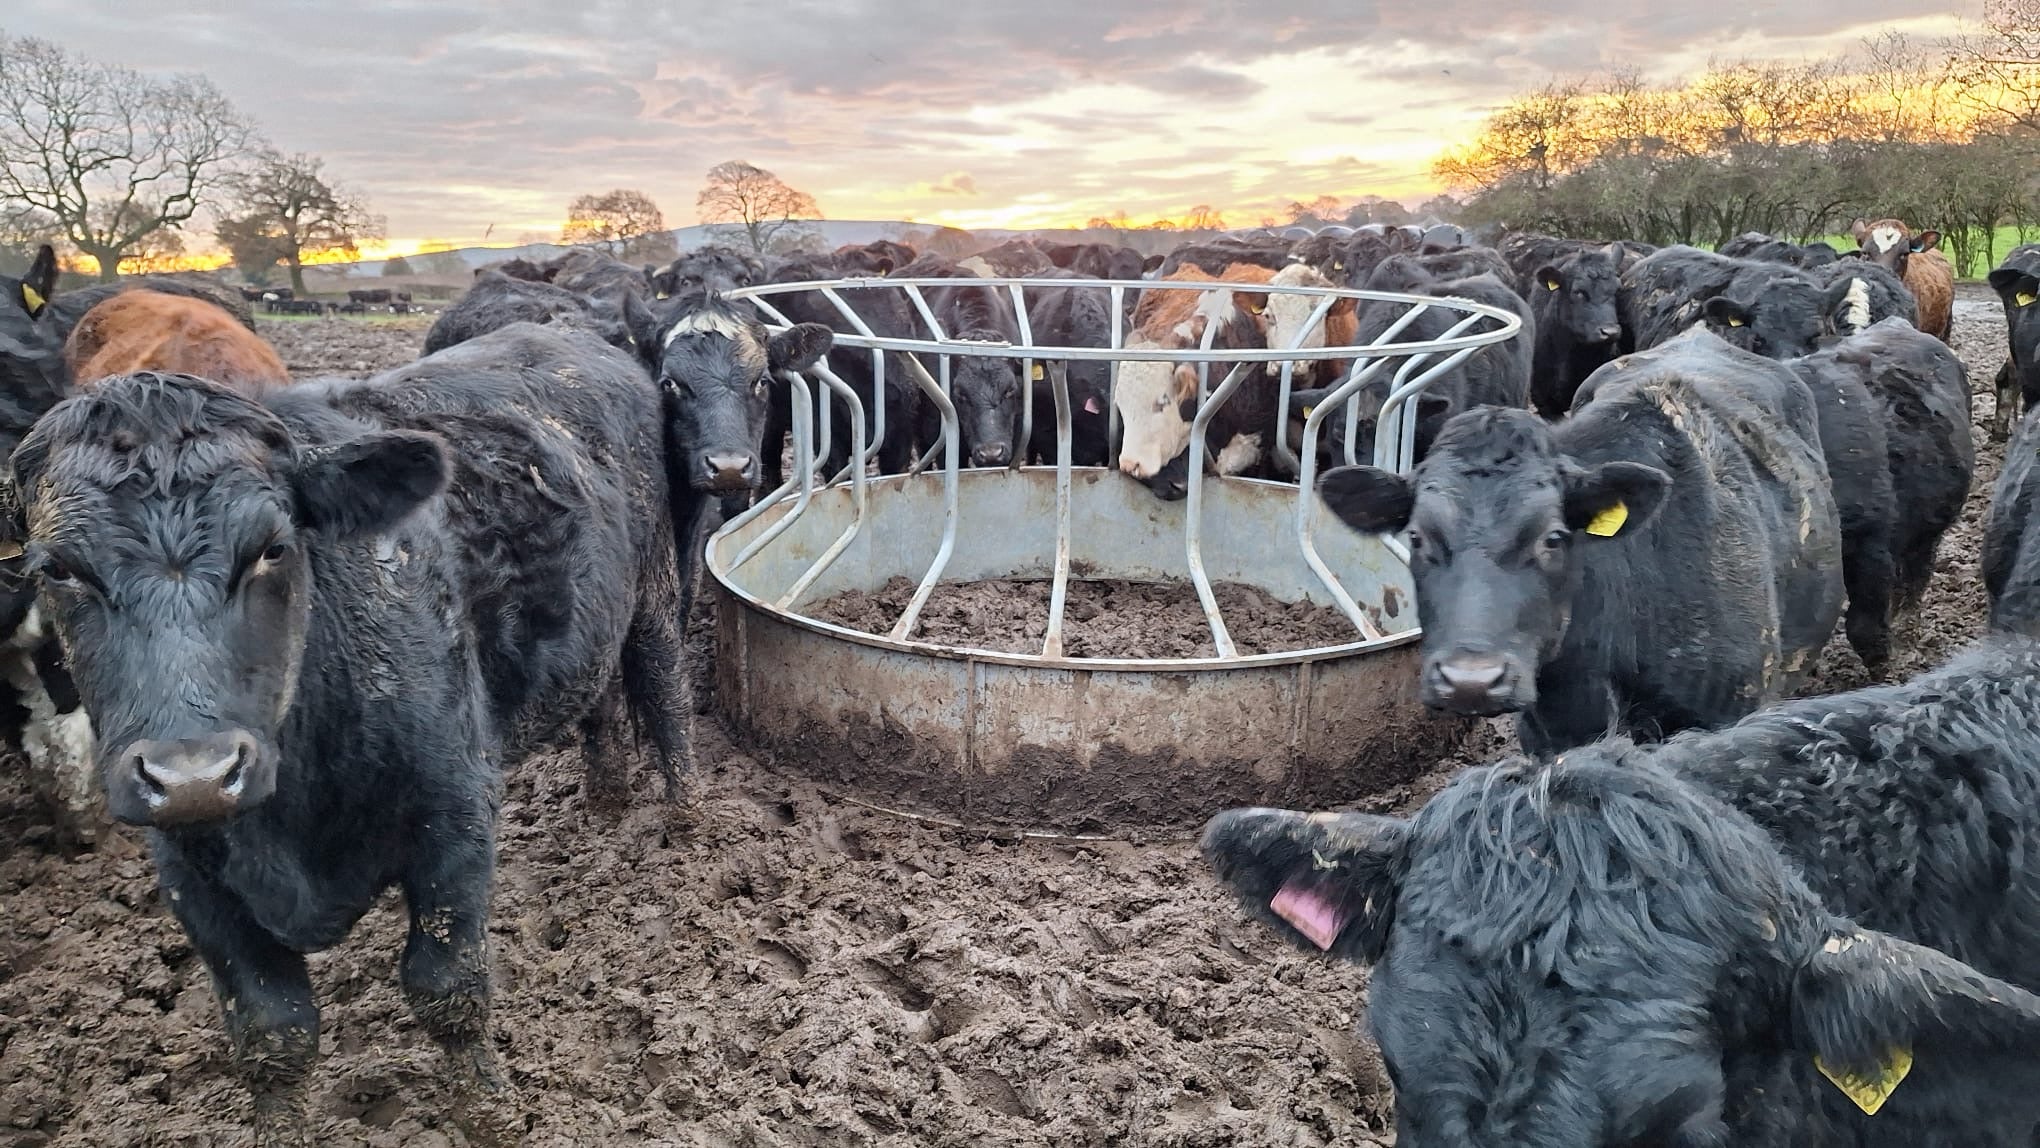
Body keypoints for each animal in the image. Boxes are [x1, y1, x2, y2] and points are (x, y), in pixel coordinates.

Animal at [0, 319, 711, 1146]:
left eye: (273, 547)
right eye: (58, 570)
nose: (195, 774)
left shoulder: (456, 813)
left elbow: (448, 987)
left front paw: (491, 1116)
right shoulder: (189, 873)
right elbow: (270, 1031)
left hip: (655, 587)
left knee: (664, 689)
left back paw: (686, 826)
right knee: (599, 706)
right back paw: (605, 806)